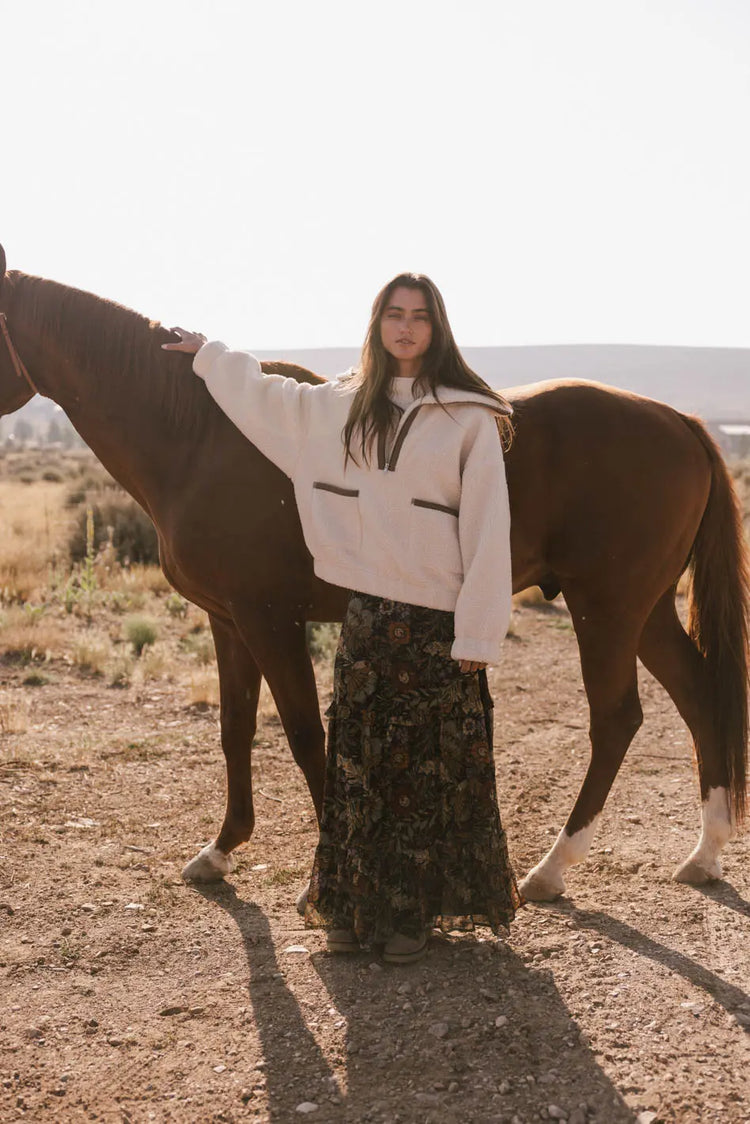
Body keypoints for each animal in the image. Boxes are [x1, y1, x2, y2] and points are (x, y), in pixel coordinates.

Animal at [0, 248, 746, 903]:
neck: (198, 437)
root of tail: (682, 423)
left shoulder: (270, 618)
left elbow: (306, 735)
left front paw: (321, 880)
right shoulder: (228, 620)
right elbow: (236, 729)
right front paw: (220, 849)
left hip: (607, 608)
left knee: (616, 718)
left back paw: (552, 869)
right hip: (645, 610)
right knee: (697, 694)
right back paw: (705, 852)